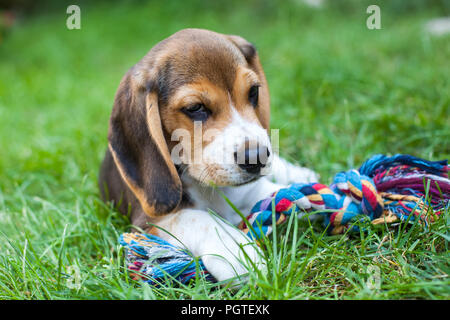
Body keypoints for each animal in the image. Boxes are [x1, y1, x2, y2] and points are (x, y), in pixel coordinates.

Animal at [99, 27, 316, 282]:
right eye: (195, 108)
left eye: (254, 92)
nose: (257, 157)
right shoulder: (149, 220)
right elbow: (199, 218)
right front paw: (234, 249)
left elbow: (262, 190)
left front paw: (295, 196)